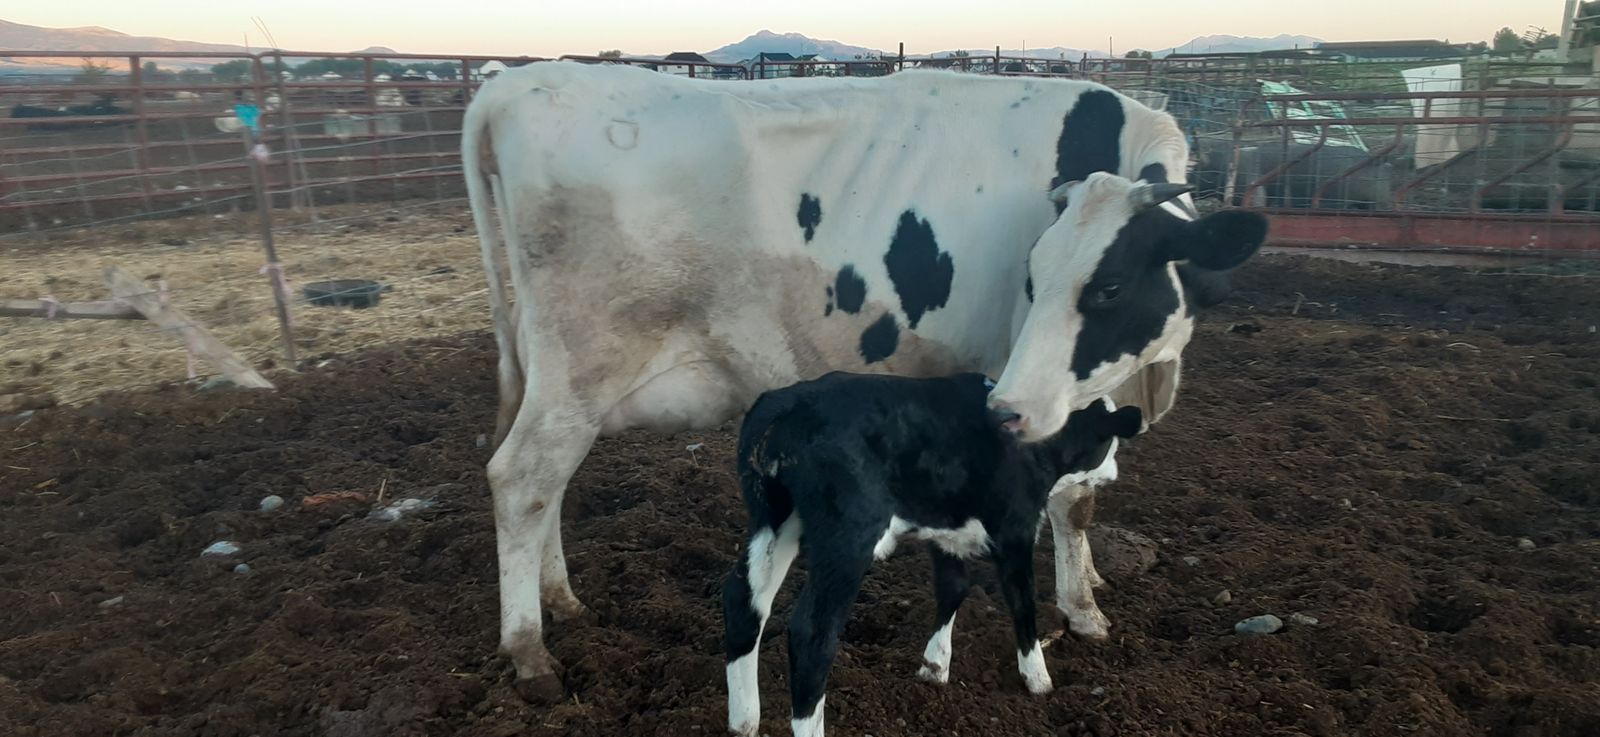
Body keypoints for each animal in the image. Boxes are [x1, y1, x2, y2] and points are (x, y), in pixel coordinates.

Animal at [725, 372, 1144, 737]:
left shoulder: (947, 534)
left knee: (745, 604)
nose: (1114, 472)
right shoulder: (1015, 532)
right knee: (813, 632)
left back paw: (744, 722)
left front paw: (935, 667)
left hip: (774, 520)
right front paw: (1038, 680)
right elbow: (1022, 605)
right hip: (848, 536)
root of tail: (786, 406)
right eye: (1110, 444)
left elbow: (953, 588)